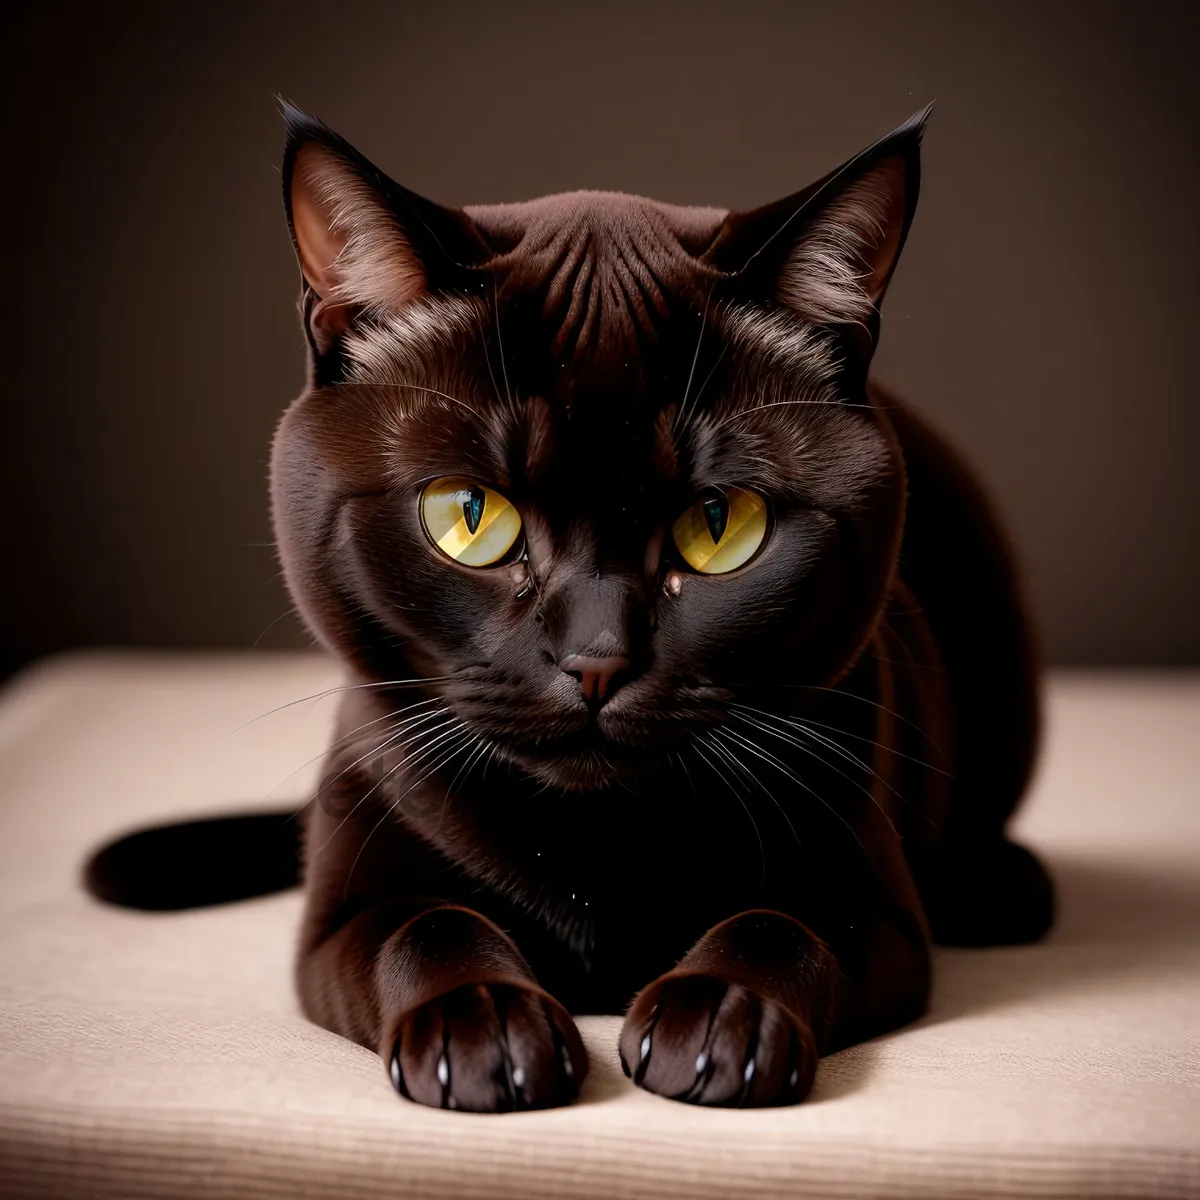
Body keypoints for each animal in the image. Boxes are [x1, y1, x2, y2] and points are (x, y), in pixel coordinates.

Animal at [88, 103, 1056, 1113]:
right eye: (469, 516)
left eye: (721, 524)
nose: (597, 660)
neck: (591, 846)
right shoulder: (344, 910)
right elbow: (423, 926)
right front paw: (481, 1029)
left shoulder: (876, 906)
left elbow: (782, 925)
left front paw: (719, 1021)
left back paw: (1003, 885)